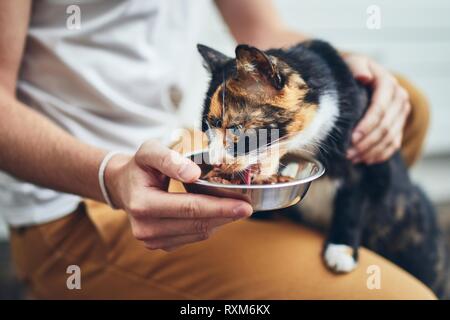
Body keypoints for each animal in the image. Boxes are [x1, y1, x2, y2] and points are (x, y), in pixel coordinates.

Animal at [199, 40, 448, 298]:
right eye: (206, 128)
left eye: (236, 130)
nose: (215, 161)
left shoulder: (367, 161)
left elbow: (352, 205)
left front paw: (341, 251)